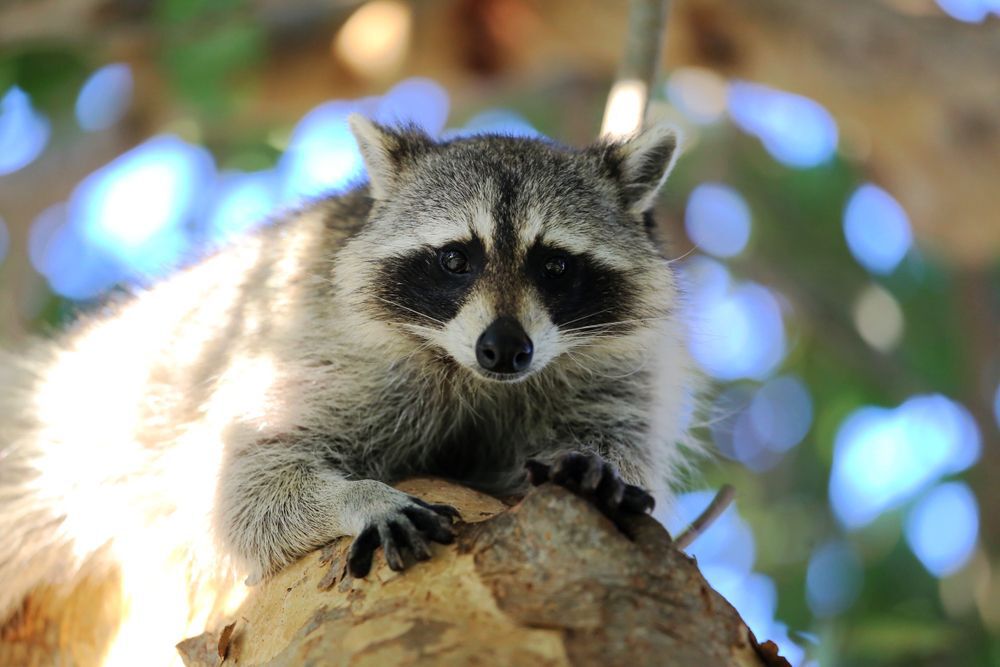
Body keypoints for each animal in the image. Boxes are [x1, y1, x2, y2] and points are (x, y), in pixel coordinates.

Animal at [0, 115, 695, 656]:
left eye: (554, 265)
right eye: (455, 259)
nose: (503, 348)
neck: (476, 378)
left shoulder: (618, 371)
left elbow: (615, 436)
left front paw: (598, 463)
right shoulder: (324, 349)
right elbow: (240, 485)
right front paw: (354, 497)